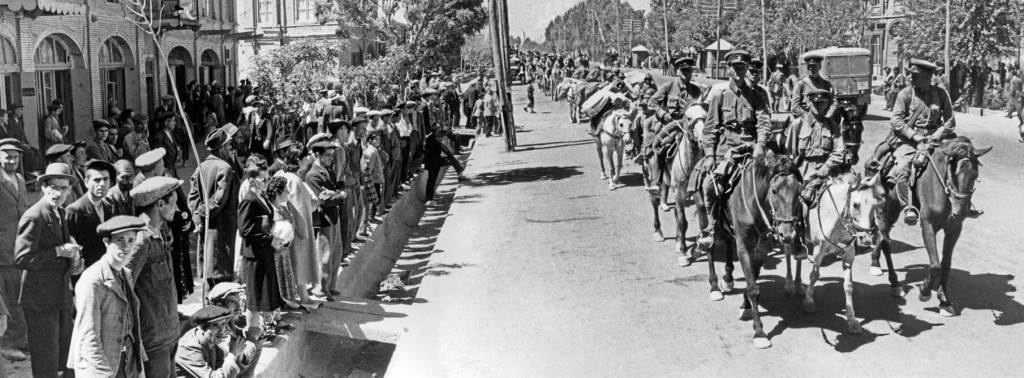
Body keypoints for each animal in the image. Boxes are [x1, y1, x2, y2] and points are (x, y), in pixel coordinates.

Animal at [724, 150, 802, 348]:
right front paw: (759, 331)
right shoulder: (743, 246)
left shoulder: (762, 247)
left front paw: (745, 306)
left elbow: (753, 278)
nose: (786, 234)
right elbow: (753, 287)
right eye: (774, 191)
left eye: (799, 190)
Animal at [786, 170, 884, 331]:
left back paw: (799, 285)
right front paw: (809, 302)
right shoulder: (819, 251)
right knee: (788, 254)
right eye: (856, 205)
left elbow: (848, 285)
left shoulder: (849, 253)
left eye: (874, 206)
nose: (866, 238)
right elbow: (814, 275)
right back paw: (789, 284)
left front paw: (852, 320)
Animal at [868, 135, 987, 315]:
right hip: (885, 208)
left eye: (975, 174)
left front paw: (944, 300)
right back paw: (894, 283)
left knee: (882, 238)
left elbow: (946, 264)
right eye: (954, 173)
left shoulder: (954, 229)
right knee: (886, 241)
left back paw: (876, 262)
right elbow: (935, 265)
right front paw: (925, 291)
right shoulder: (927, 224)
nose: (961, 212)